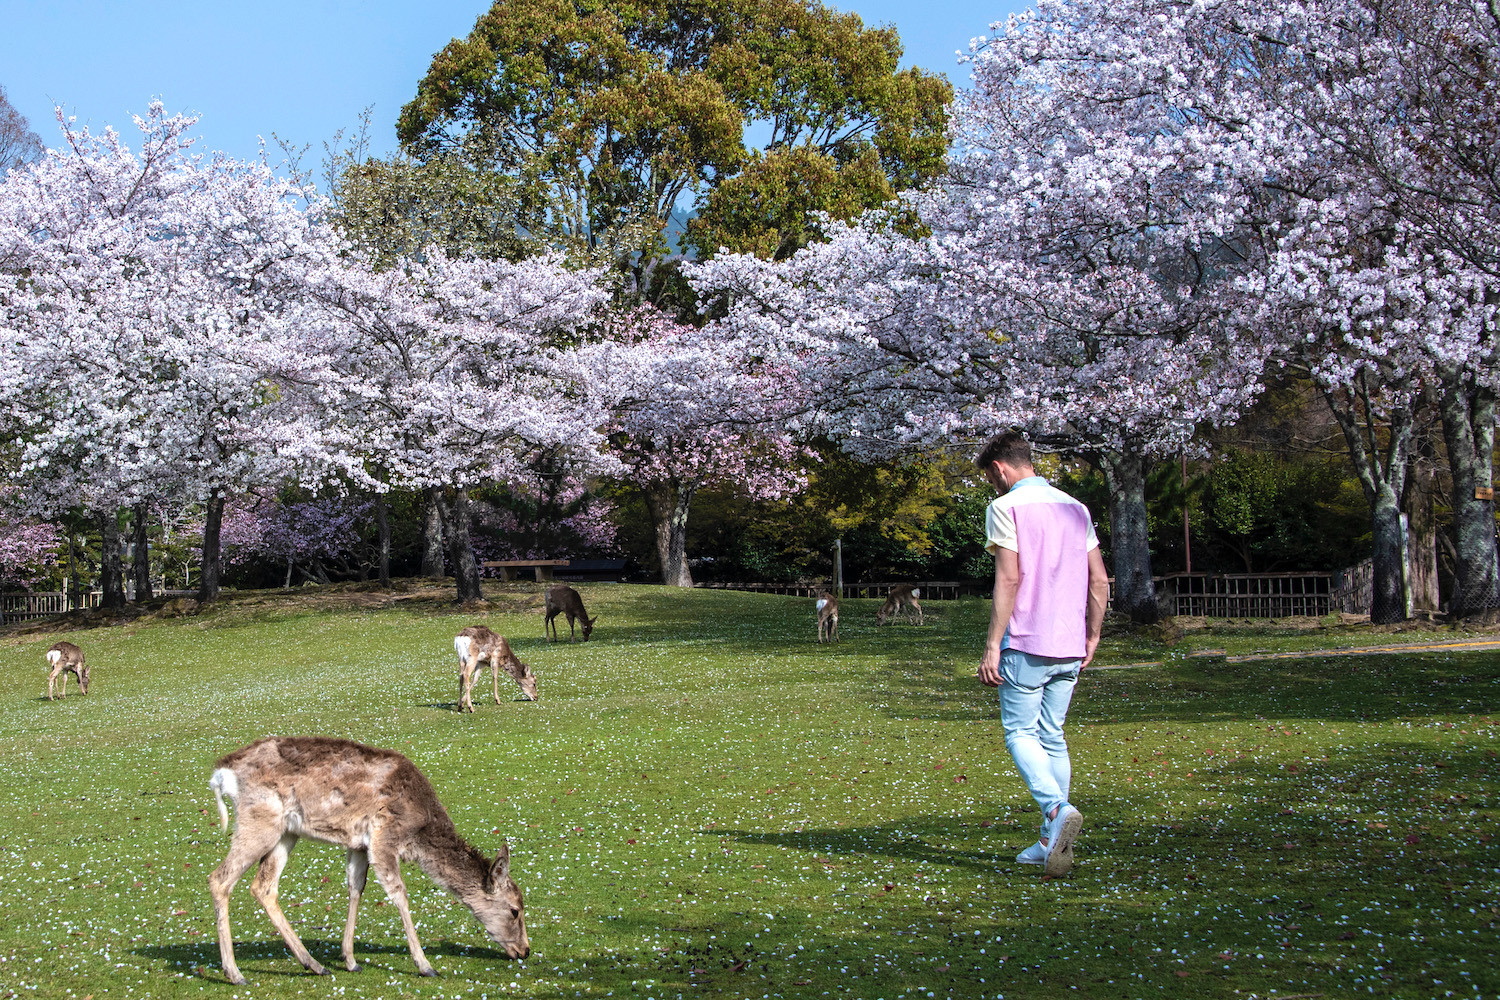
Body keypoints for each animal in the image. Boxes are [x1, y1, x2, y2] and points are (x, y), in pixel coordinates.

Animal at [211, 734, 528, 983]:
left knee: (263, 886)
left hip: (286, 832)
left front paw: (350, 960)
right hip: (258, 821)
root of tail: (221, 773)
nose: (525, 950)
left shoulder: (359, 845)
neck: (419, 826)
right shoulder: (384, 836)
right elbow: (399, 893)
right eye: (515, 910)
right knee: (220, 879)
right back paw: (235, 973)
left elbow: (356, 887)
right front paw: (425, 965)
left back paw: (314, 964)